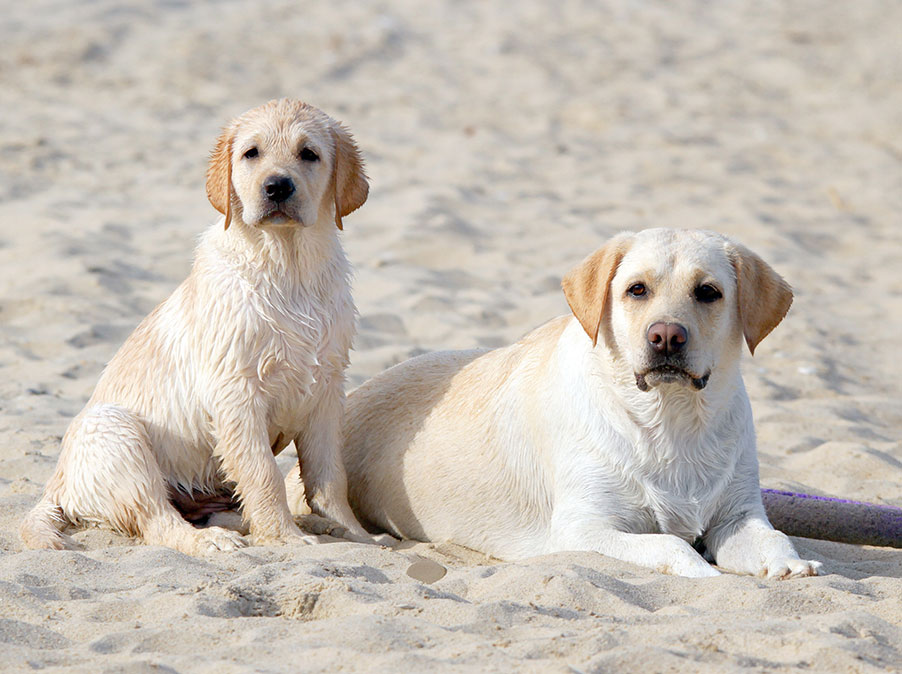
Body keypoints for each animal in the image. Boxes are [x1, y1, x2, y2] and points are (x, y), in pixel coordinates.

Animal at [21, 98, 374, 552]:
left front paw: (351, 531)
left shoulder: (328, 386)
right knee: (157, 520)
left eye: (308, 154)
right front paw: (285, 538)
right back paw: (213, 543)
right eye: (251, 153)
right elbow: (264, 473)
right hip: (114, 432)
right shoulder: (236, 392)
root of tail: (55, 484)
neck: (287, 267)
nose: (277, 187)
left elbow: (329, 473)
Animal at [340, 228, 828, 576]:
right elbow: (670, 544)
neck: (670, 421)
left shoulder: (738, 515)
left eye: (708, 292)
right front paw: (707, 576)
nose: (666, 337)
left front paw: (789, 565)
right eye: (636, 290)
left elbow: (774, 538)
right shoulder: (581, 528)